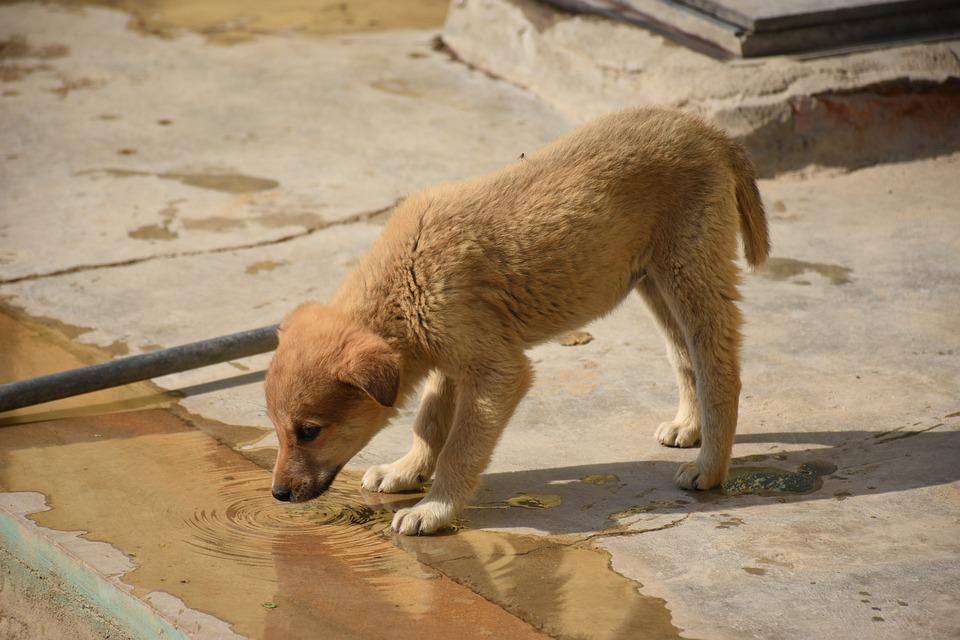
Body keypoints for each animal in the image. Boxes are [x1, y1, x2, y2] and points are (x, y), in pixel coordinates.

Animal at [264, 106, 772, 536]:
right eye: (277, 427)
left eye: (308, 431)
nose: (279, 494)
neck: (407, 281)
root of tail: (706, 130)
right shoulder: (453, 358)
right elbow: (429, 422)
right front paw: (406, 470)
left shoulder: (497, 371)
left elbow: (460, 448)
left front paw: (435, 509)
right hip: (655, 281)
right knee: (685, 356)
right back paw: (688, 426)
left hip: (691, 271)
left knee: (719, 369)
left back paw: (709, 468)